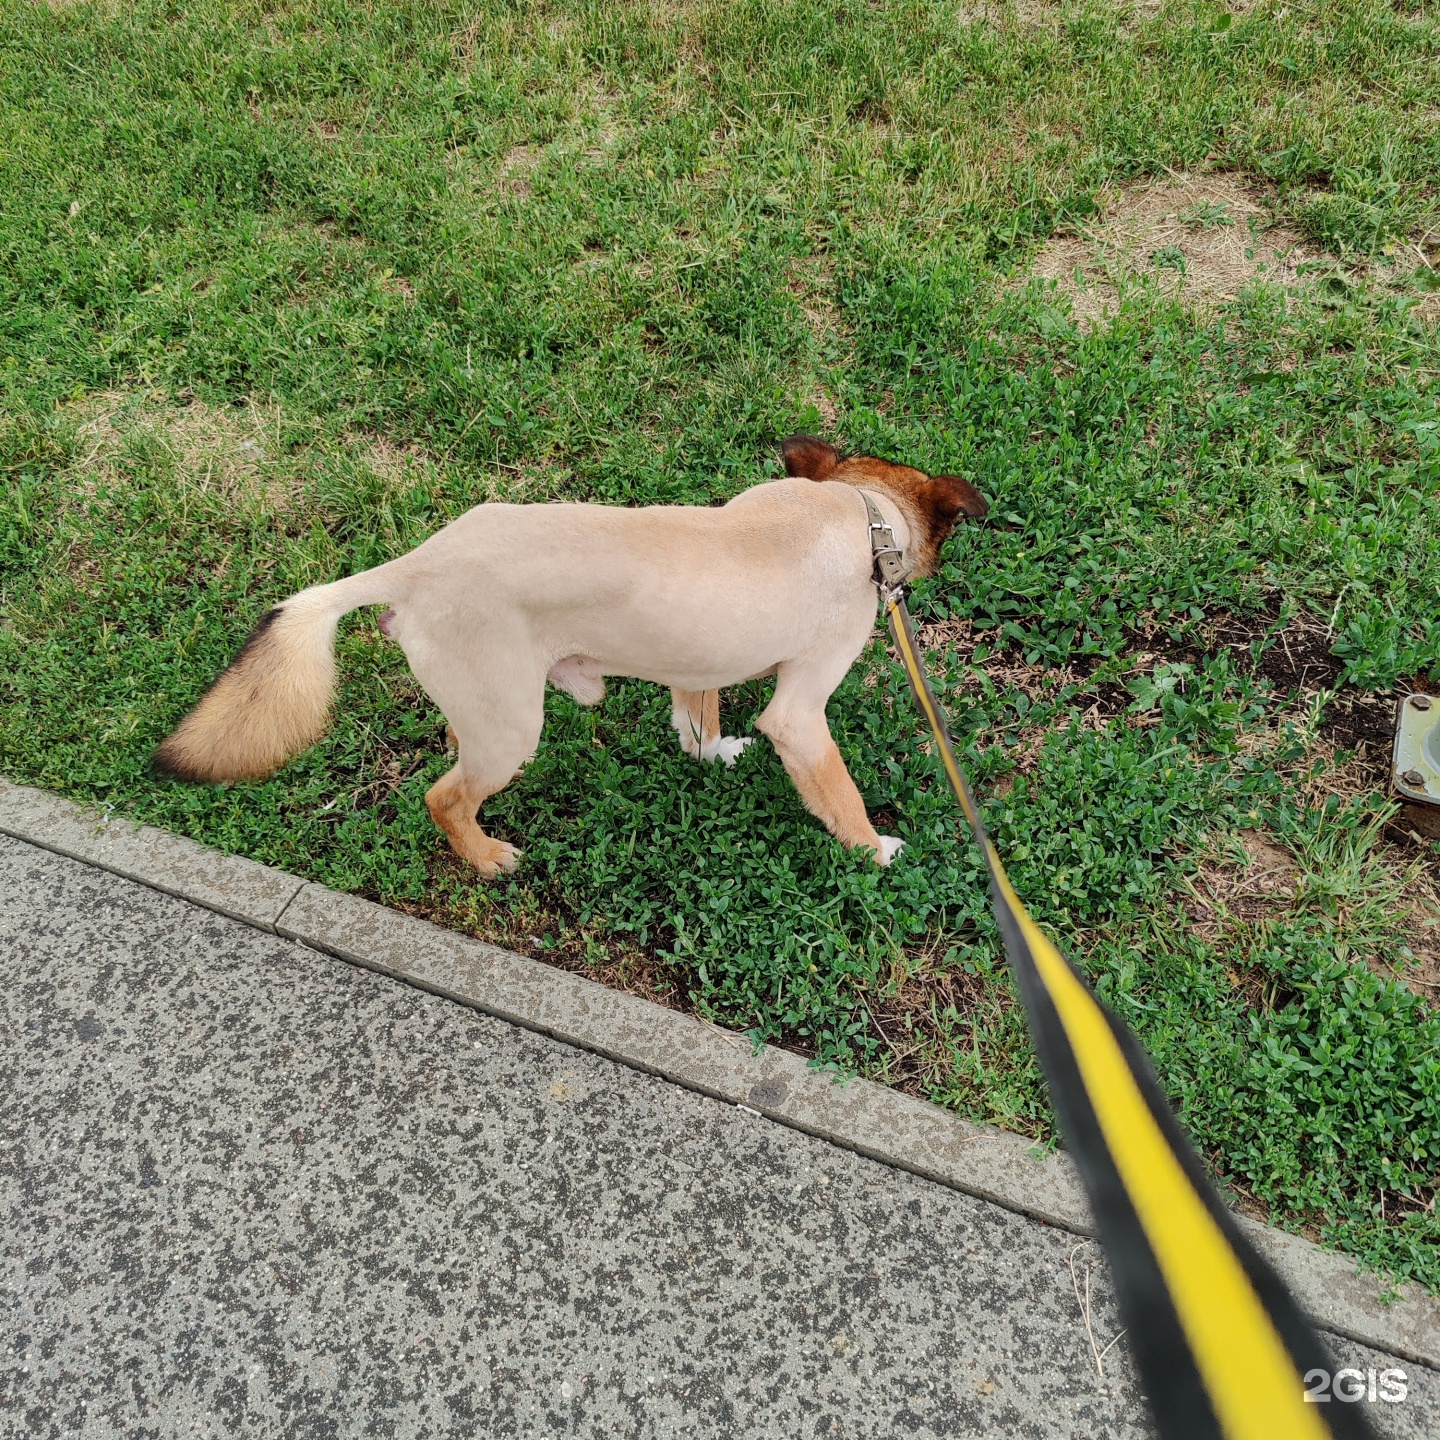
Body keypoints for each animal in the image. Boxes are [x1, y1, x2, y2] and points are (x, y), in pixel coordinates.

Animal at [154, 432, 990, 869]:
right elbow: (838, 795)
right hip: (513, 732)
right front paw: (875, 849)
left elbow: (699, 724)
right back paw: (486, 856)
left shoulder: (696, 667)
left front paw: (713, 754)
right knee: (442, 797)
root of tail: (418, 566)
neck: (857, 512)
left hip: (488, 707)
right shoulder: (802, 716)